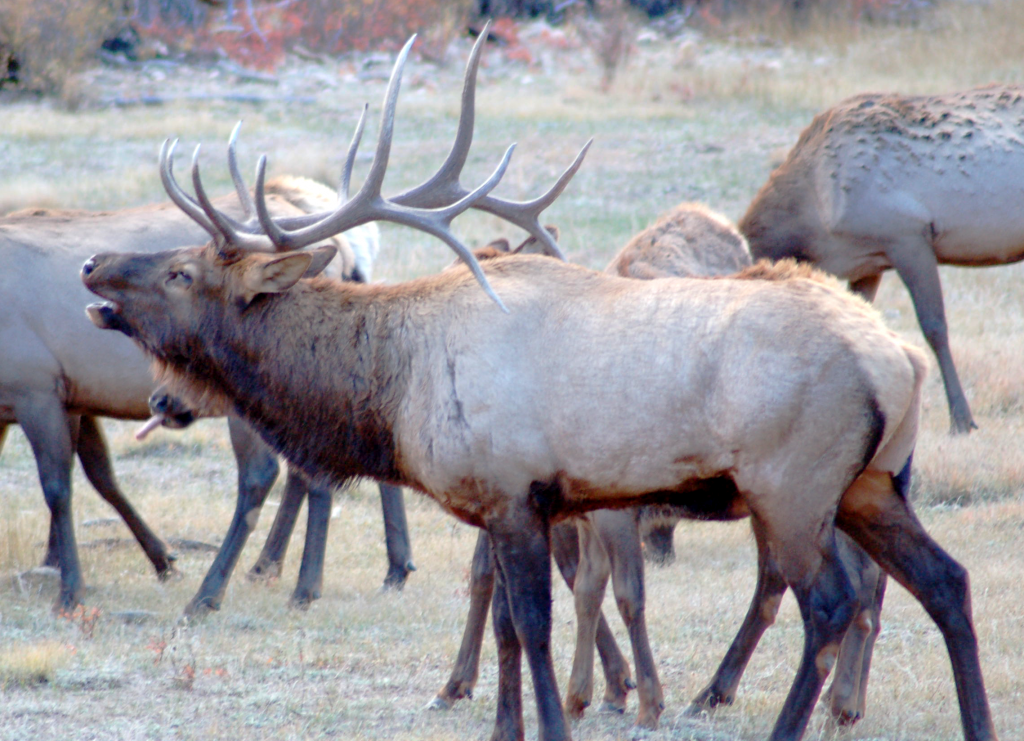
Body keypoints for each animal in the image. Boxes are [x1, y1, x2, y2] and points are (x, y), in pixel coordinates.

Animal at [0, 138, 414, 614]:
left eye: (181, 273)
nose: (91, 264)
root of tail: (344, 246)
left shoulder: (36, 386)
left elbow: (58, 486)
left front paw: (71, 589)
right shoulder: (71, 395)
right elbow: (101, 475)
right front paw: (156, 559)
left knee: (268, 474)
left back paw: (268, 584)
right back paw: (351, 568)